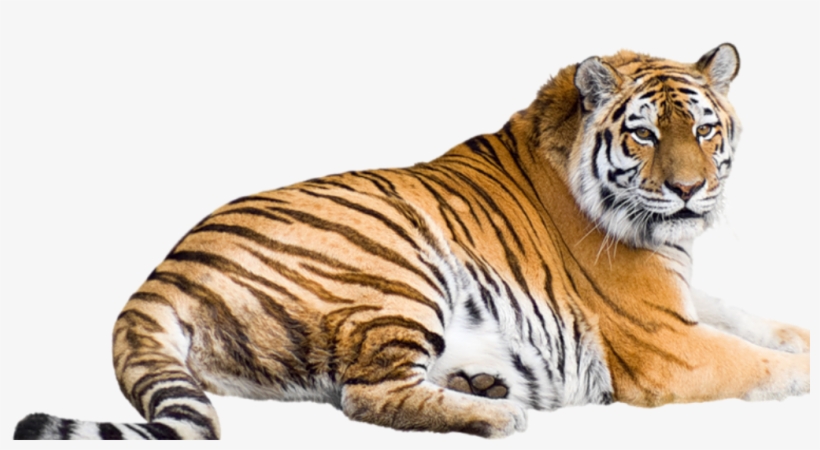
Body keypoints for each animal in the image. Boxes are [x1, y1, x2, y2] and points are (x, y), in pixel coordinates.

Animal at [14, 43, 810, 440]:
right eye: (644, 134)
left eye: (704, 129)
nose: (689, 190)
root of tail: (161, 273)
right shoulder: (667, 343)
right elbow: (767, 365)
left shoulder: (681, 298)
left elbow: (753, 319)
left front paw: (799, 331)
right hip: (396, 269)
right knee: (364, 395)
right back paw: (496, 412)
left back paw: (481, 382)